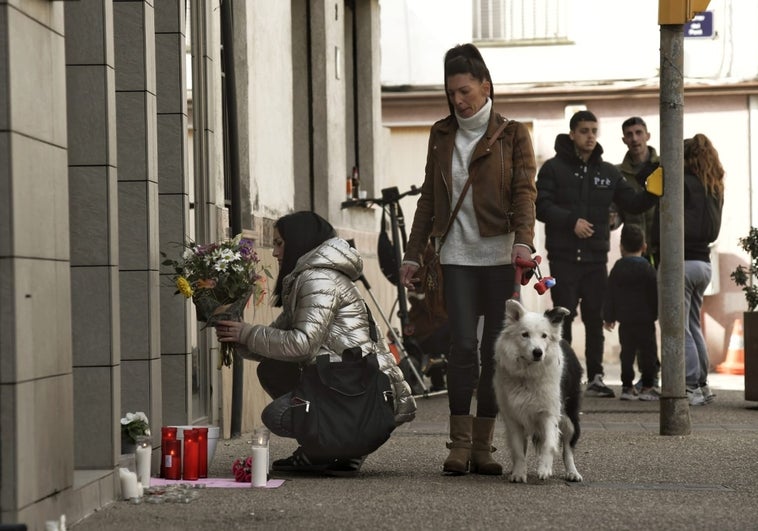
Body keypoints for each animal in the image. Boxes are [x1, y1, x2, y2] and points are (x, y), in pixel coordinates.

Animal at [496, 300, 584, 482]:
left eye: (544, 336)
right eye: (525, 335)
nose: (538, 352)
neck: (527, 374)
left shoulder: (549, 413)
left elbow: (549, 444)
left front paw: (544, 469)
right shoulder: (513, 417)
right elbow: (517, 449)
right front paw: (519, 473)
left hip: (570, 418)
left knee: (568, 449)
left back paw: (573, 473)